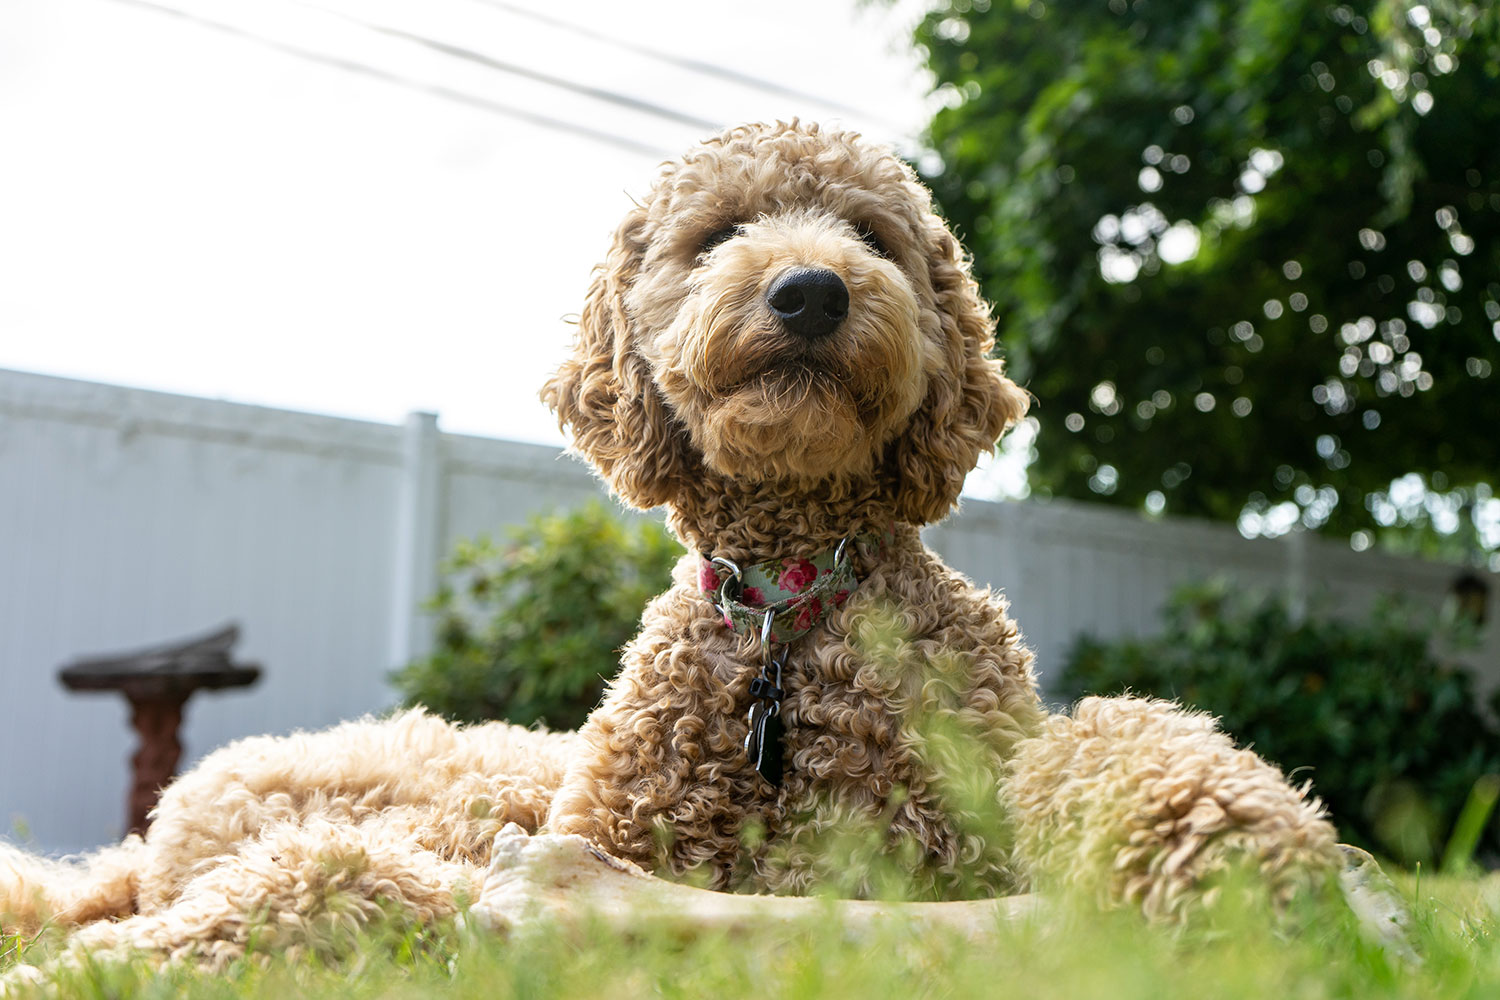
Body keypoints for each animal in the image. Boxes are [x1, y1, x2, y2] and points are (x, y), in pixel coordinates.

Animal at [0, 121, 1338, 965]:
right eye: (720, 232)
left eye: (872, 234)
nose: (811, 288)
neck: (786, 613)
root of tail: (161, 821)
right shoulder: (578, 827)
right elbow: (359, 881)